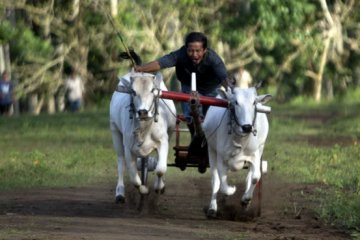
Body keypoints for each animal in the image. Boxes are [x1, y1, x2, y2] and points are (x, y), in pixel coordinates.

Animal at [110, 71, 176, 202]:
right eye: (133, 91)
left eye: (152, 90)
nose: (143, 112)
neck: (145, 127)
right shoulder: (128, 149)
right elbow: (135, 180)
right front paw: (144, 190)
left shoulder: (163, 141)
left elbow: (160, 169)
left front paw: (159, 187)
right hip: (115, 131)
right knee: (120, 162)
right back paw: (120, 192)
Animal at [202, 86, 272, 218]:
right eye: (235, 102)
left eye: (254, 102)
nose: (247, 127)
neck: (240, 139)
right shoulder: (221, 158)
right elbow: (222, 184)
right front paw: (231, 190)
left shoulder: (255, 156)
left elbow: (255, 177)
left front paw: (246, 200)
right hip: (211, 151)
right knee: (215, 181)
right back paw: (212, 208)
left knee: (249, 177)